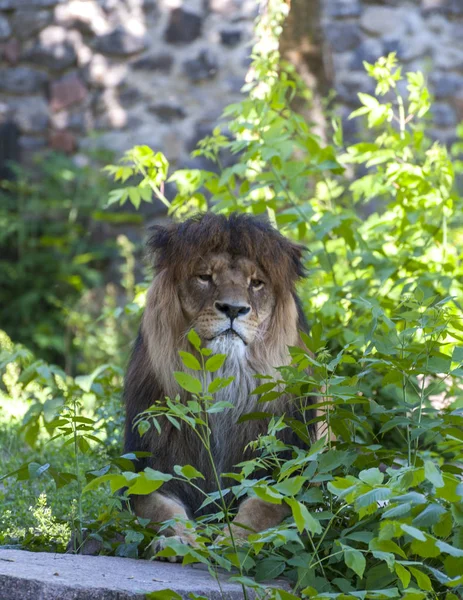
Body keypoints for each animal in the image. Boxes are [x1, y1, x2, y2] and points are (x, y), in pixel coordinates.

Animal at [123, 213, 318, 556]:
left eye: (256, 283)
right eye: (204, 277)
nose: (233, 309)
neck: (223, 384)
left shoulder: (288, 474)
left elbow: (259, 507)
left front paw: (233, 541)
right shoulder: (148, 473)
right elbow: (164, 510)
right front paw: (181, 542)